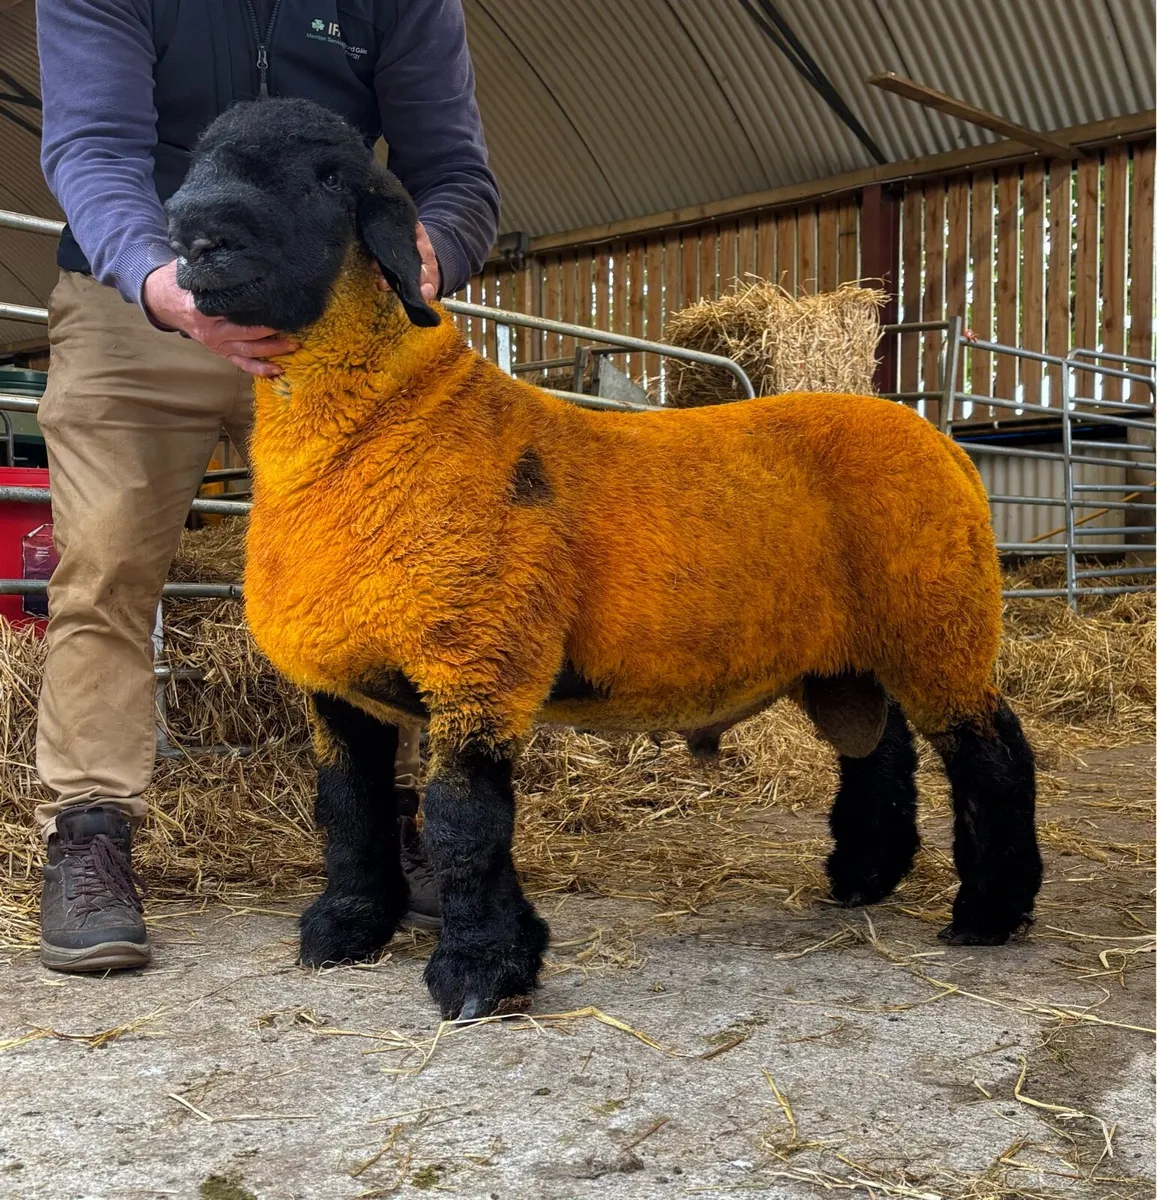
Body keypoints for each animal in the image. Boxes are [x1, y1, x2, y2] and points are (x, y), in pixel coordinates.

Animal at [165, 98, 1043, 1020]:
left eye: (331, 177)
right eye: (197, 158)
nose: (196, 238)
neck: (386, 422)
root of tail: (940, 442)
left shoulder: (480, 660)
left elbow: (462, 819)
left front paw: (479, 970)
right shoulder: (340, 681)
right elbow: (348, 807)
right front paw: (348, 927)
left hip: (937, 620)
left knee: (991, 752)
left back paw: (987, 912)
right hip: (847, 649)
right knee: (878, 751)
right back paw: (864, 877)